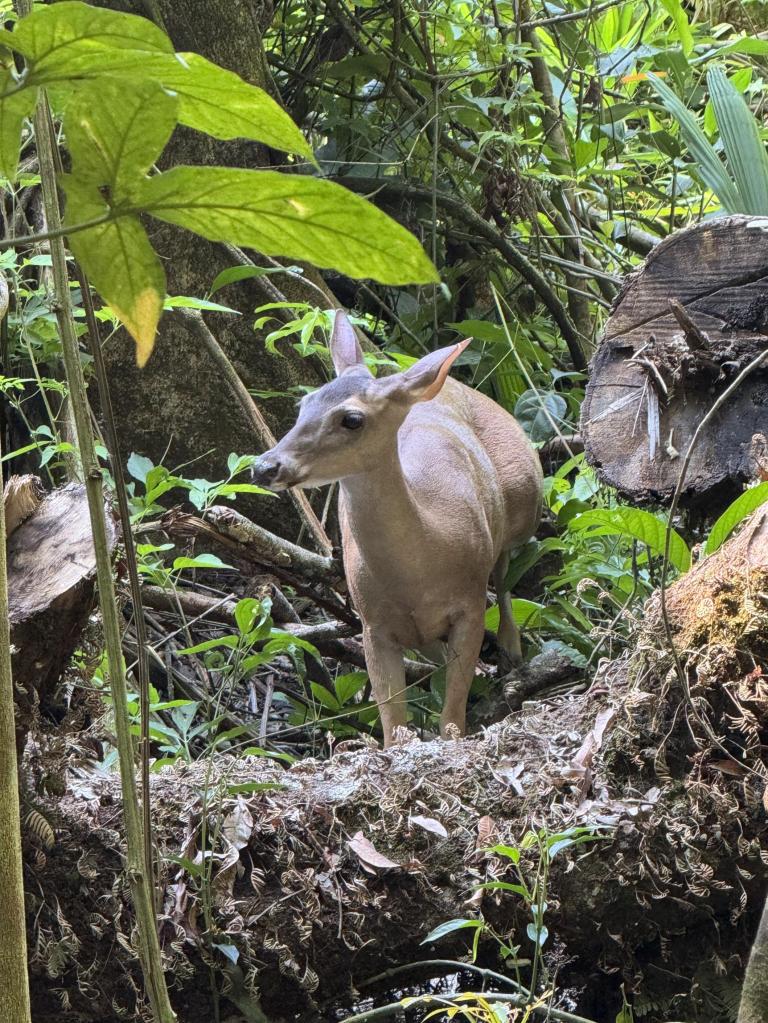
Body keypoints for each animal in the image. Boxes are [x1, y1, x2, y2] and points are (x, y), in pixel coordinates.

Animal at [251, 311, 543, 747]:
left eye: (352, 419)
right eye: (304, 403)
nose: (265, 466)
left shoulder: (470, 605)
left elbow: (452, 716)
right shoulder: (372, 622)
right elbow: (394, 726)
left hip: (528, 493)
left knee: (506, 570)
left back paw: (513, 651)